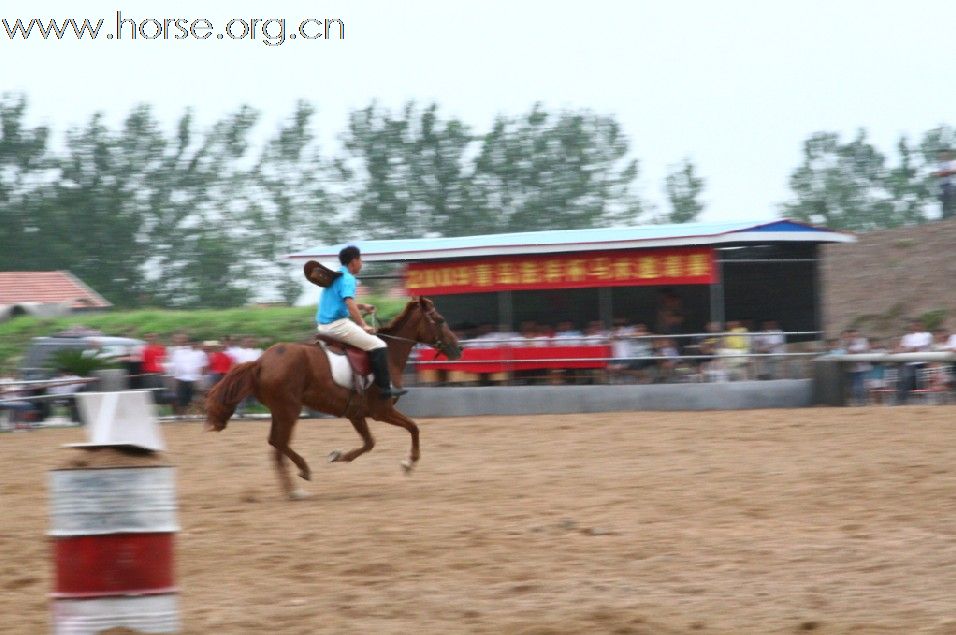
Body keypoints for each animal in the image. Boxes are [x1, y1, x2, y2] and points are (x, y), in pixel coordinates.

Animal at [205, 298, 464, 502]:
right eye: (440, 320)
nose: (459, 349)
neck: (388, 354)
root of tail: (260, 362)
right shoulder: (381, 411)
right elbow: (413, 428)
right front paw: (409, 463)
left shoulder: (355, 413)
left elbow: (369, 443)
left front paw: (338, 455)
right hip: (289, 410)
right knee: (279, 443)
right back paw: (301, 478)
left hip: (280, 411)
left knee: (276, 445)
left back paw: (294, 487)